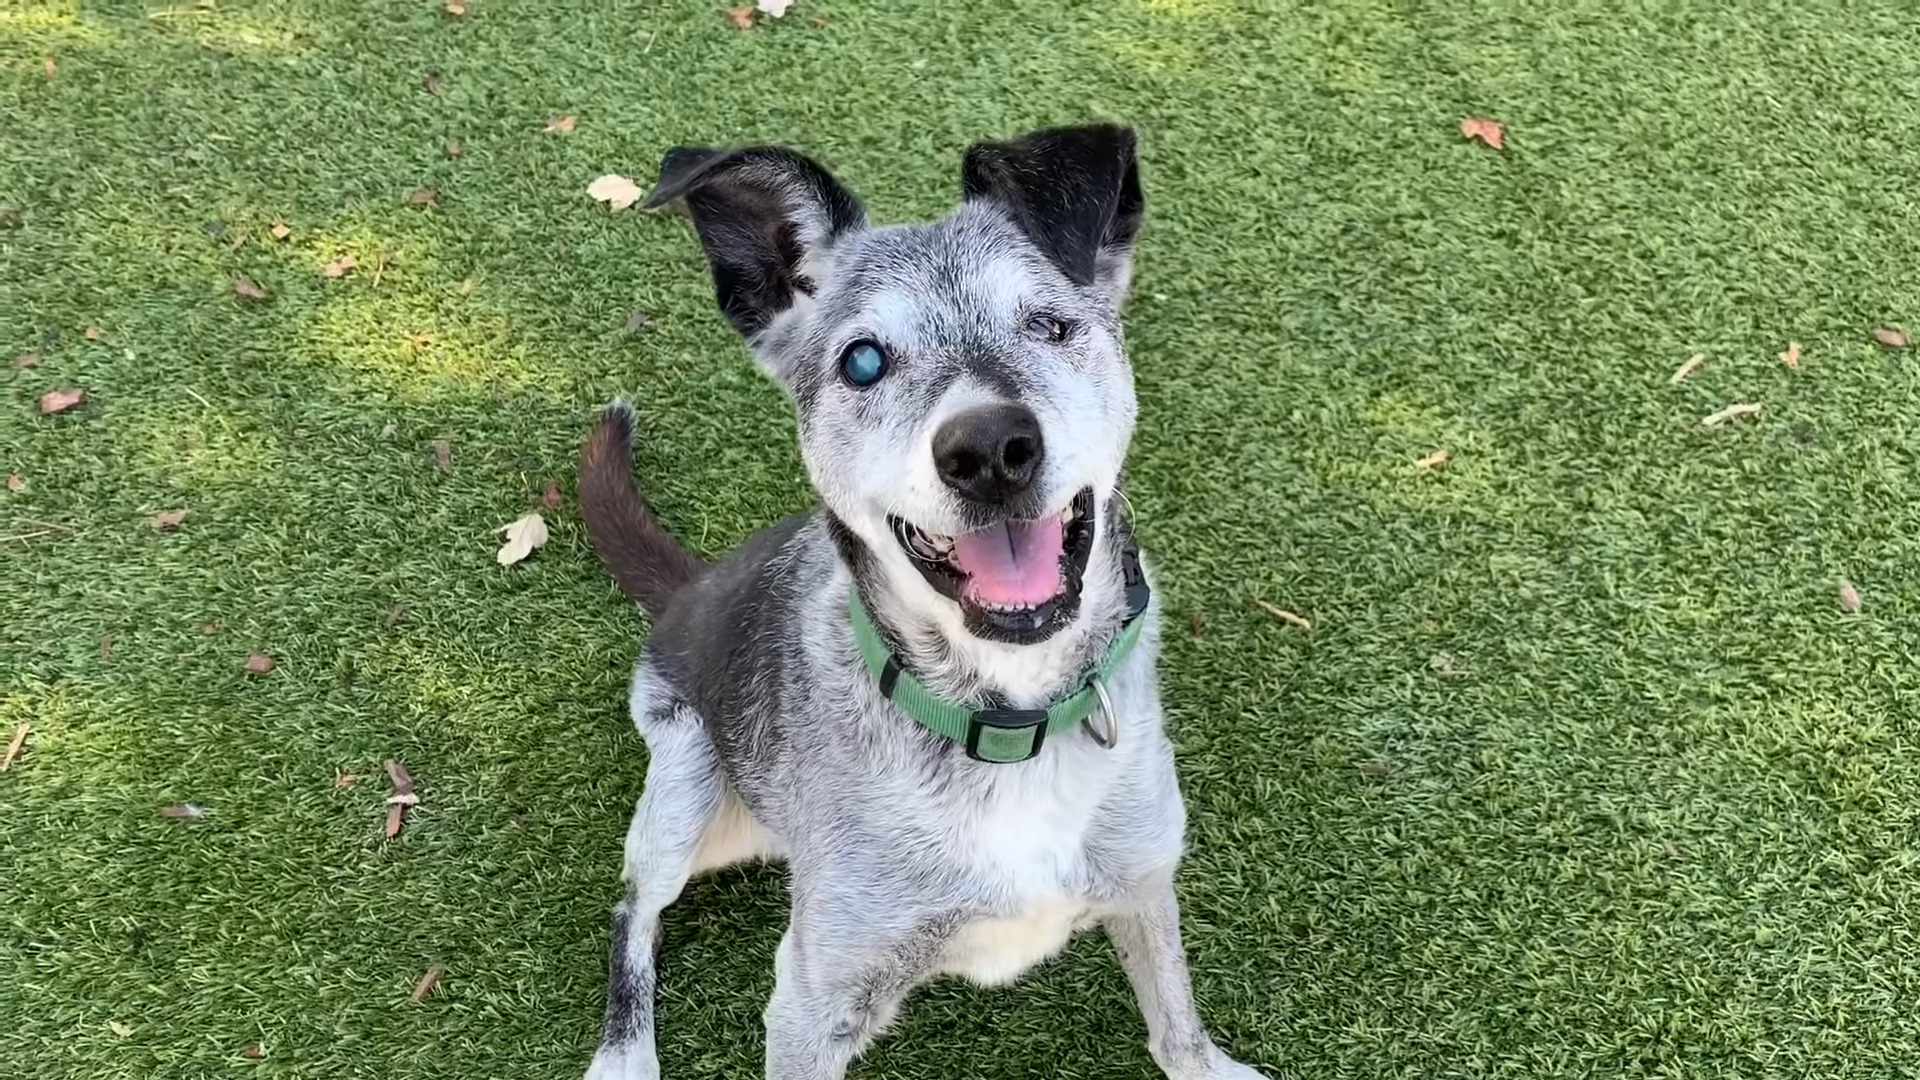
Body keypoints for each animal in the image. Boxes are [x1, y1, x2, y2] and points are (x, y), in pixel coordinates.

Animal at [576, 123, 1267, 1076]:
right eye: (864, 360)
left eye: (1049, 324)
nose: (990, 449)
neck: (1009, 719)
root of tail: (691, 585)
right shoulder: (811, 1004)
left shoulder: (1143, 883)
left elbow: (1178, 1025)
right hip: (687, 793)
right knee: (632, 909)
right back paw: (624, 1054)